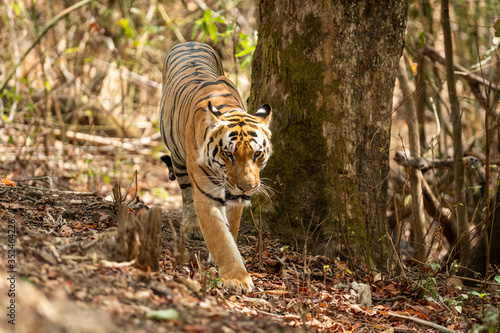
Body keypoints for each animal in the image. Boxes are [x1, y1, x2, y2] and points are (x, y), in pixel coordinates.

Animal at [159, 42, 272, 290]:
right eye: (228, 154)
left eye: (257, 154)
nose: (247, 187)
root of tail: (189, 42)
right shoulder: (206, 195)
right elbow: (219, 236)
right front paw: (236, 277)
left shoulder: (234, 198)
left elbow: (231, 228)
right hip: (179, 162)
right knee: (186, 195)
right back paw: (192, 226)